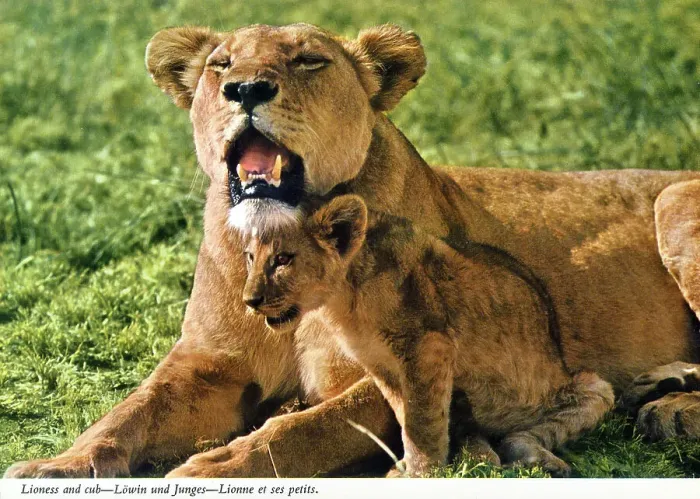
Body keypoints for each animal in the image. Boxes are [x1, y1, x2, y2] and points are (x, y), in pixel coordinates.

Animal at [242, 194, 614, 476]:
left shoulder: (427, 346)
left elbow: (421, 421)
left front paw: (422, 473)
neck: (342, 303)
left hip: (594, 387)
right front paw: (410, 466)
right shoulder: (382, 365)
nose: (249, 300)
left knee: (520, 435)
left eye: (283, 259)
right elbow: (405, 415)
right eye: (250, 257)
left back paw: (539, 460)